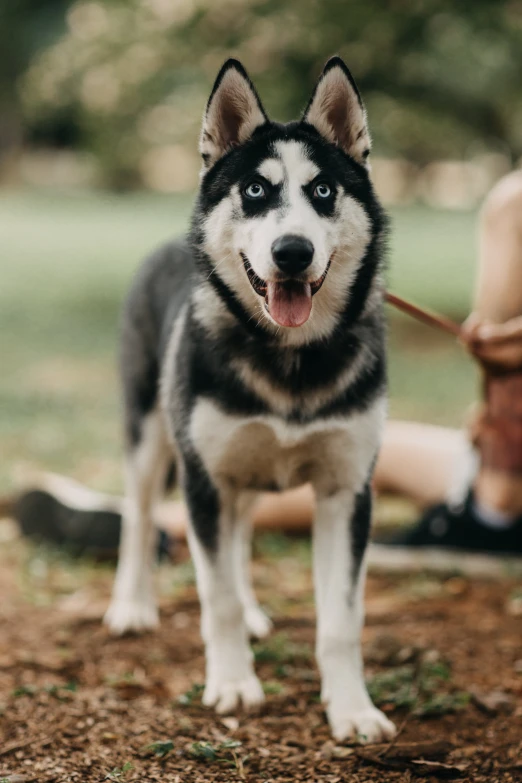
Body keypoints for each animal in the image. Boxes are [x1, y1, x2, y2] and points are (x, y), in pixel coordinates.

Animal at [104, 58, 394, 744]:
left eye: (323, 191)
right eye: (256, 191)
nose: (293, 252)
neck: (290, 358)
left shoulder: (346, 491)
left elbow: (341, 620)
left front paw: (352, 708)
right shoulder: (203, 478)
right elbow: (217, 598)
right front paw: (234, 682)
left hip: (246, 474)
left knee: (237, 537)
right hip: (152, 436)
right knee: (139, 518)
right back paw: (132, 605)